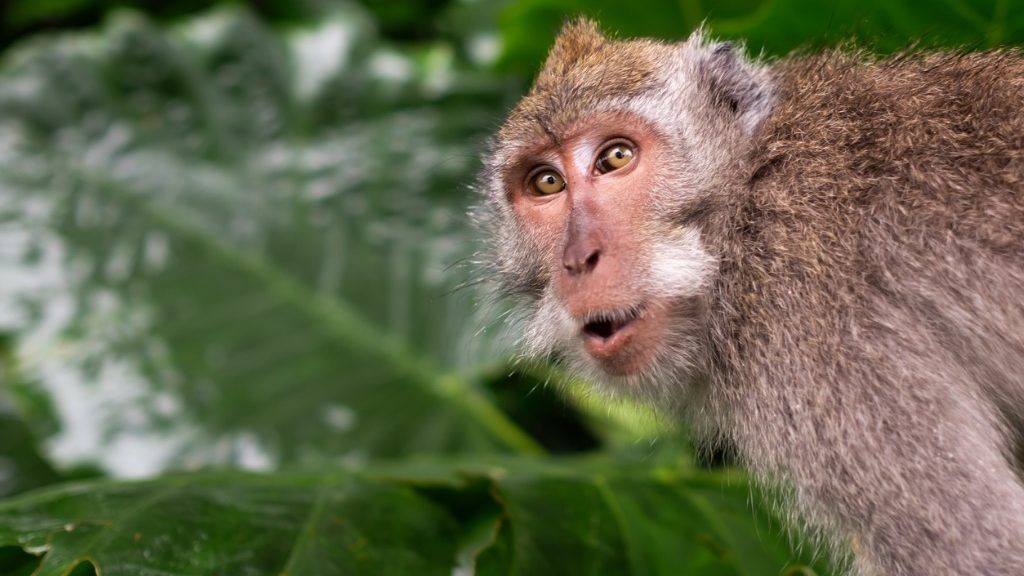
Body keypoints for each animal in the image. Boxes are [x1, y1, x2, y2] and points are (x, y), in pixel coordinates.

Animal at [475, 19, 1024, 573]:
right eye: (547, 183)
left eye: (616, 157)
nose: (578, 260)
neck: (748, 194)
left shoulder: (809, 324)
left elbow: (980, 552)